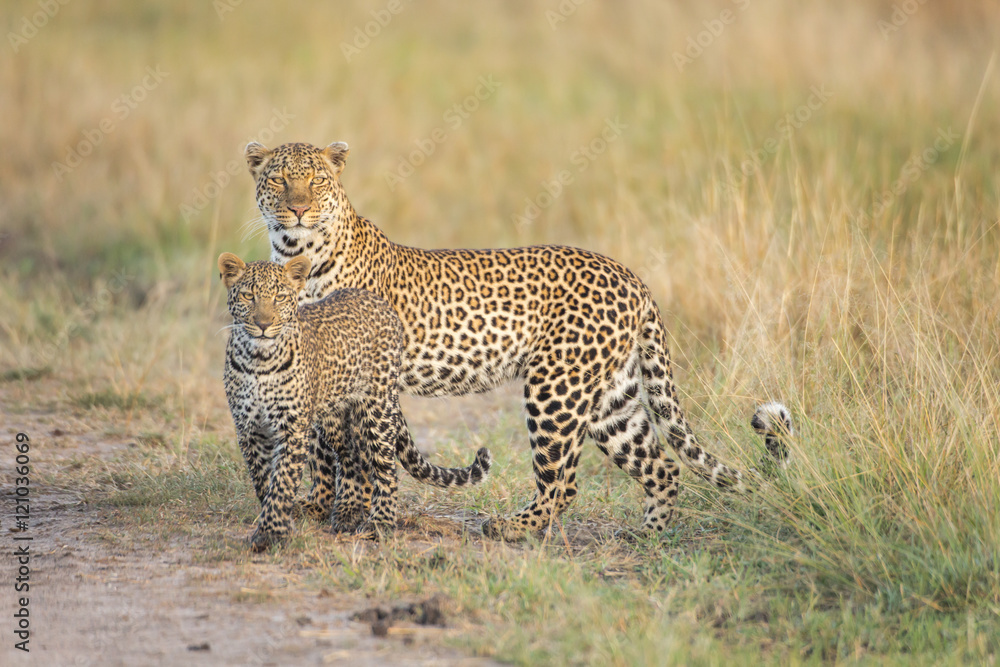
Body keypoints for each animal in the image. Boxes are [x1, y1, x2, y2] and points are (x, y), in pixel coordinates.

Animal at [219, 252, 491, 551]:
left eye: (279, 297)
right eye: (247, 295)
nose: (264, 325)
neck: (259, 361)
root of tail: (378, 300)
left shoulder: (292, 429)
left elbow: (282, 482)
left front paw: (272, 533)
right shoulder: (248, 429)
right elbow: (263, 481)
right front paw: (275, 524)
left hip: (378, 408)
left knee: (385, 468)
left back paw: (380, 523)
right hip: (333, 415)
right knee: (351, 454)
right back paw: (348, 512)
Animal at [244, 140, 793, 541]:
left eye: (316, 180)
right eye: (279, 179)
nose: (298, 208)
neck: (298, 253)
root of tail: (632, 277)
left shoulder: (358, 371)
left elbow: (349, 452)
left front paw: (345, 513)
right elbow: (323, 447)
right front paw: (316, 506)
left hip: (556, 387)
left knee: (563, 483)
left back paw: (512, 528)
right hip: (612, 398)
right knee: (661, 466)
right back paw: (649, 536)